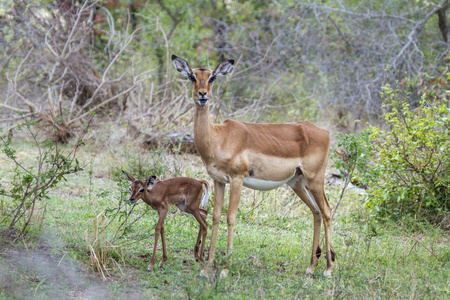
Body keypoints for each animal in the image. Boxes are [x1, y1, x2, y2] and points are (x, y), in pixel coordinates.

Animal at [174, 54, 336, 276]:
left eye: (212, 77)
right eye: (192, 76)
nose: (202, 94)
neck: (218, 137)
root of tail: (324, 132)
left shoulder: (237, 178)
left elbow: (231, 217)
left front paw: (225, 268)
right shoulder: (218, 181)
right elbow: (215, 217)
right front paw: (207, 268)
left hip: (315, 179)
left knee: (327, 211)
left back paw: (328, 269)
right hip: (297, 183)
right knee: (317, 212)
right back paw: (311, 267)